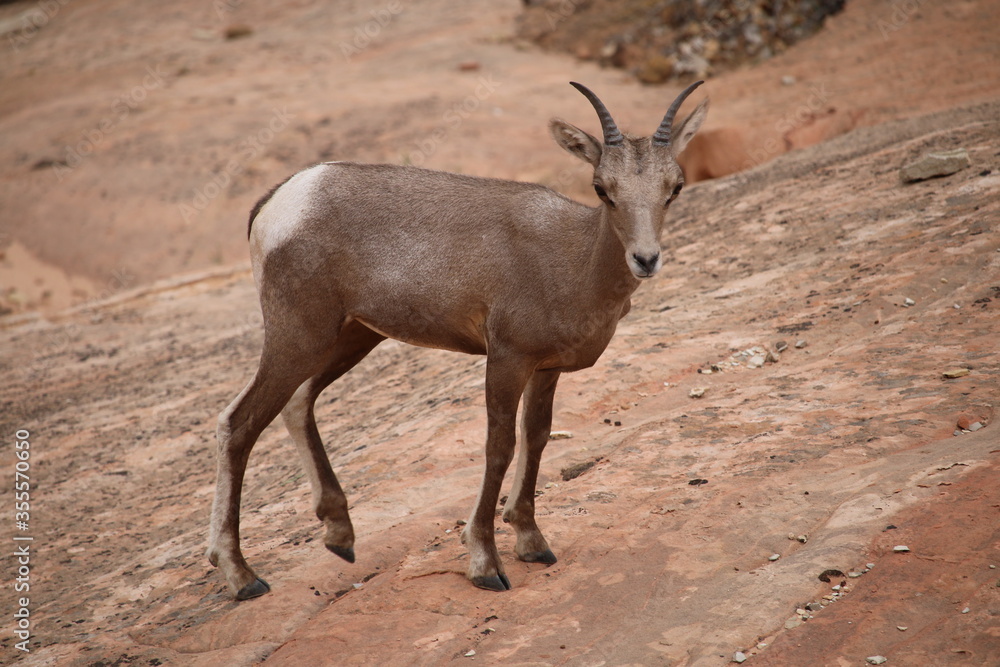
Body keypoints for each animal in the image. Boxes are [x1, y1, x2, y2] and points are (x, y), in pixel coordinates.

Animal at [208, 81, 708, 599]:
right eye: (601, 189)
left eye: (674, 187)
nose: (645, 259)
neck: (572, 262)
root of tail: (279, 202)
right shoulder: (506, 360)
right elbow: (499, 446)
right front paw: (486, 564)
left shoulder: (545, 369)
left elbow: (537, 438)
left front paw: (533, 544)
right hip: (298, 336)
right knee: (239, 423)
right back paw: (243, 577)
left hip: (352, 337)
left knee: (297, 403)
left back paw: (339, 536)